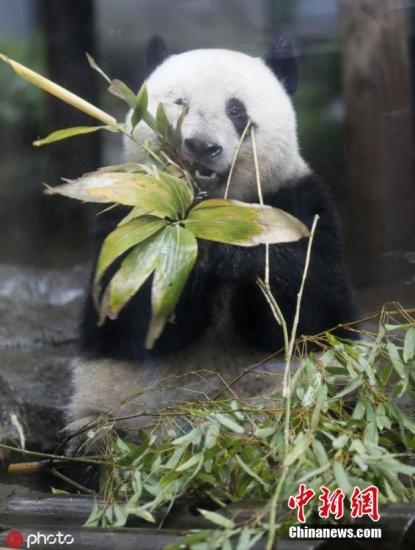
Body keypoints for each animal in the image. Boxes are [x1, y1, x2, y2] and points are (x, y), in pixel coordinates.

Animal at [66, 34, 358, 446]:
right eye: (179, 103)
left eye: (236, 110)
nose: (202, 147)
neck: (209, 209)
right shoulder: (127, 213)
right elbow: (126, 317)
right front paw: (186, 263)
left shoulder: (302, 204)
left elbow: (313, 313)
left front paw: (236, 256)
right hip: (112, 407)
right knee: (96, 437)